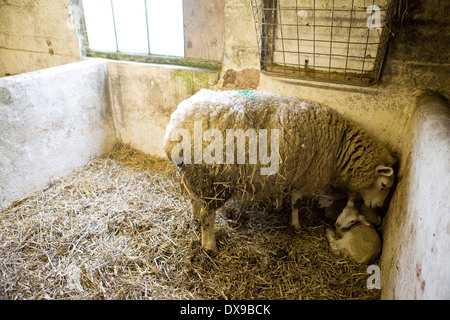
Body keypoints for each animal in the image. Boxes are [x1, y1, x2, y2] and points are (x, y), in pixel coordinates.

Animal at [163, 89, 394, 252]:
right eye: (384, 185)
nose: (378, 207)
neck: (340, 146)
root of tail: (176, 124)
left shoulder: (290, 171)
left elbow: (284, 193)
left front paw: (279, 205)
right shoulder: (306, 175)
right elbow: (296, 202)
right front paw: (296, 224)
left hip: (195, 174)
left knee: (195, 199)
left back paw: (195, 218)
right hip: (217, 180)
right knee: (208, 214)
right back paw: (209, 246)